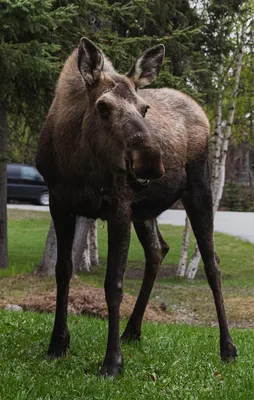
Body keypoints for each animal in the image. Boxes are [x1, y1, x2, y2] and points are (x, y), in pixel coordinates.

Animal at [36, 36, 237, 376]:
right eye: (103, 106)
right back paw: (132, 330)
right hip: (144, 211)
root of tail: (200, 110)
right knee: (158, 250)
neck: (77, 163)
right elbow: (63, 272)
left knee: (212, 262)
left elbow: (114, 284)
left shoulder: (118, 207)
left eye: (144, 108)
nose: (151, 160)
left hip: (199, 188)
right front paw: (57, 344)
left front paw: (112, 362)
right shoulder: (60, 204)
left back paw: (228, 347)